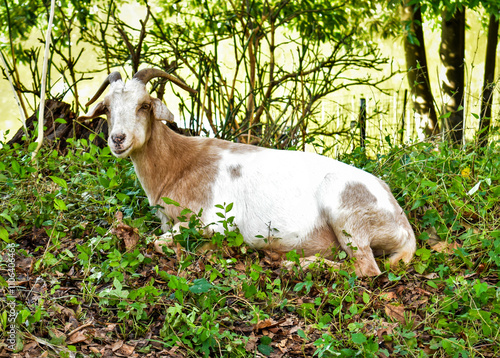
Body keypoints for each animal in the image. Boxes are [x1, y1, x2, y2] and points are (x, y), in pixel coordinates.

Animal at [81, 69, 418, 276]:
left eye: (144, 105)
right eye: (107, 108)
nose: (118, 139)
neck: (181, 164)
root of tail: (403, 226)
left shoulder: (214, 220)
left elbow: (160, 242)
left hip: (348, 217)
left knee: (366, 268)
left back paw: (298, 266)